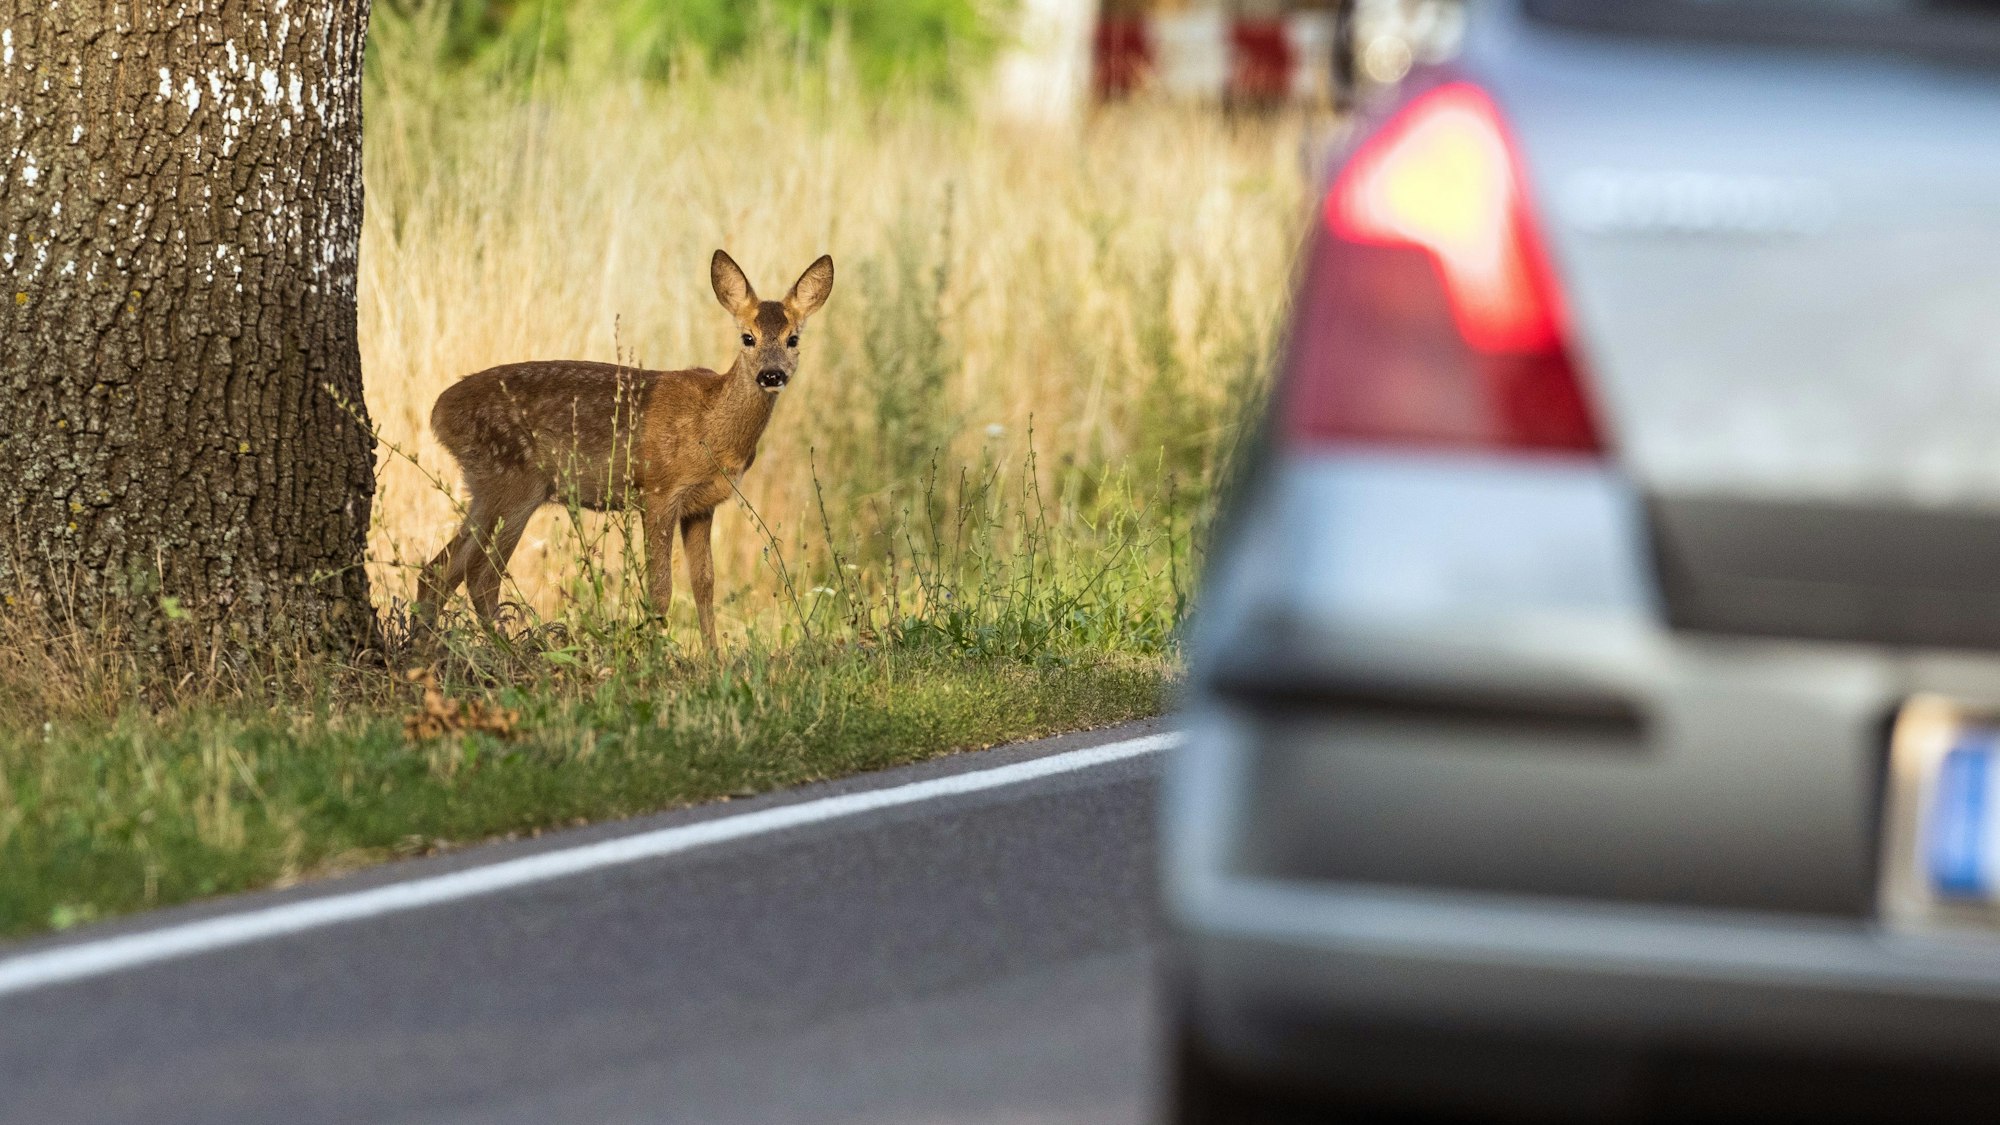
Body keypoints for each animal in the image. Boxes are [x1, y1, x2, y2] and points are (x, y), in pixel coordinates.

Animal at [415, 250, 835, 653]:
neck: (712, 426)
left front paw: (714, 661)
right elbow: (661, 590)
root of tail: (439, 412)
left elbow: (705, 584)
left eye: (793, 339)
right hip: (514, 483)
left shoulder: (701, 506)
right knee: (481, 575)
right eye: (747, 337)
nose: (771, 374)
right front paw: (657, 657)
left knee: (439, 570)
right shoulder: (659, 492)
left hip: (486, 489)